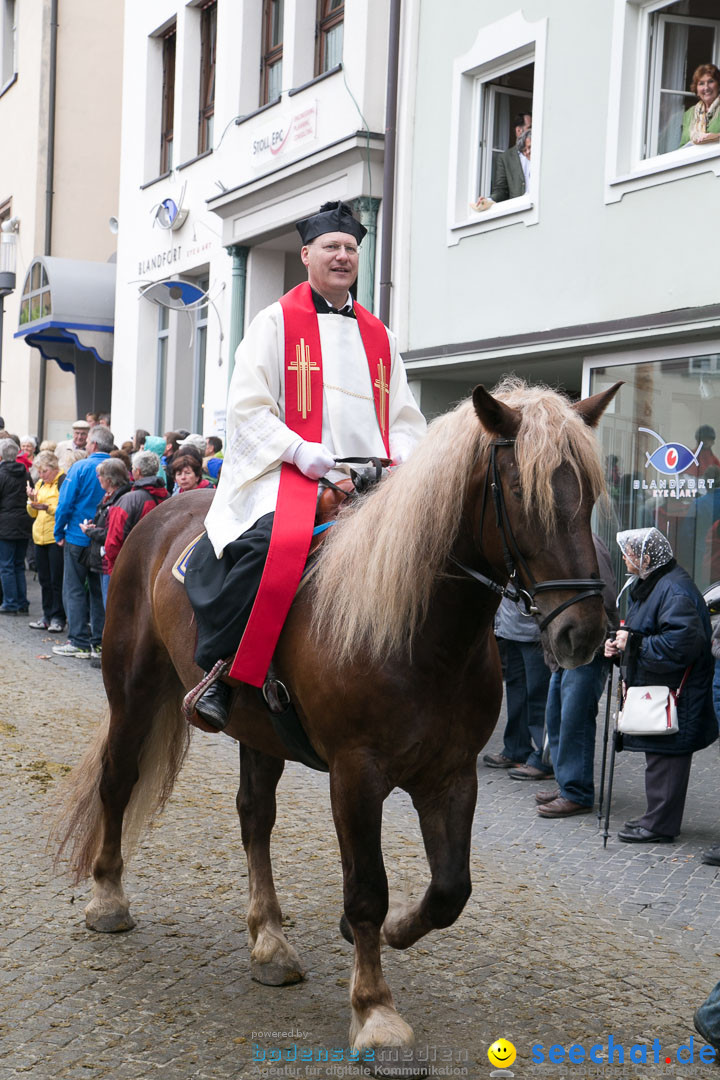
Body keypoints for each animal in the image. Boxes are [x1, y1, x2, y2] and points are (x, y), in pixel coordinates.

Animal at [56, 375, 621, 1067]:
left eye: (588, 494)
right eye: (522, 493)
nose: (583, 633)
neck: (418, 632)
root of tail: (159, 514)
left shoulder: (452, 774)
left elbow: (449, 890)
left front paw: (387, 933)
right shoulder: (356, 775)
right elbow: (367, 887)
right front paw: (375, 1012)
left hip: (258, 730)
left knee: (254, 817)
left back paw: (269, 941)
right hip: (134, 692)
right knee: (118, 781)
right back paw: (108, 898)